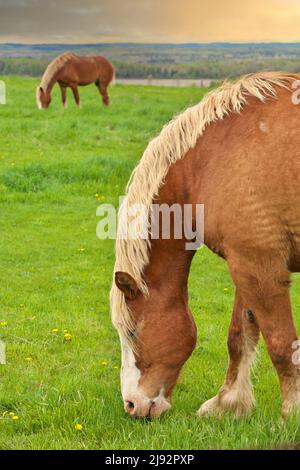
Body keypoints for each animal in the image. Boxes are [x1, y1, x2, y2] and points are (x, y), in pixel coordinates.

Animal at [109, 72, 300, 418]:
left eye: (131, 332)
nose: (131, 404)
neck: (214, 157)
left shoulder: (262, 268)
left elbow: (282, 344)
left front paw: (291, 413)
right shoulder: (245, 265)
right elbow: (239, 335)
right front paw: (228, 403)